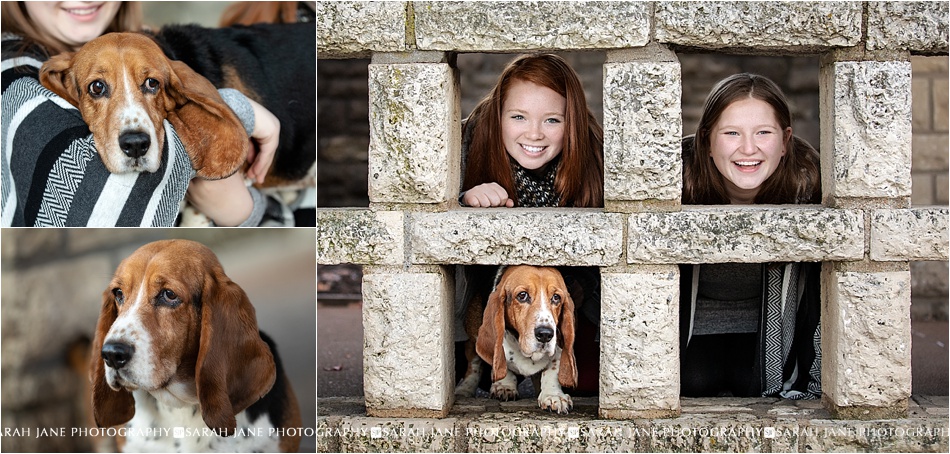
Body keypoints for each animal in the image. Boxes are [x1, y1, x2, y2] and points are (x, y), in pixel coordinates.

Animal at [456, 264, 580, 414]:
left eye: (556, 297)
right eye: (522, 295)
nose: (545, 334)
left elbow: (553, 368)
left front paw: (553, 395)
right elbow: (500, 360)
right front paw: (504, 386)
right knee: (474, 365)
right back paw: (464, 390)